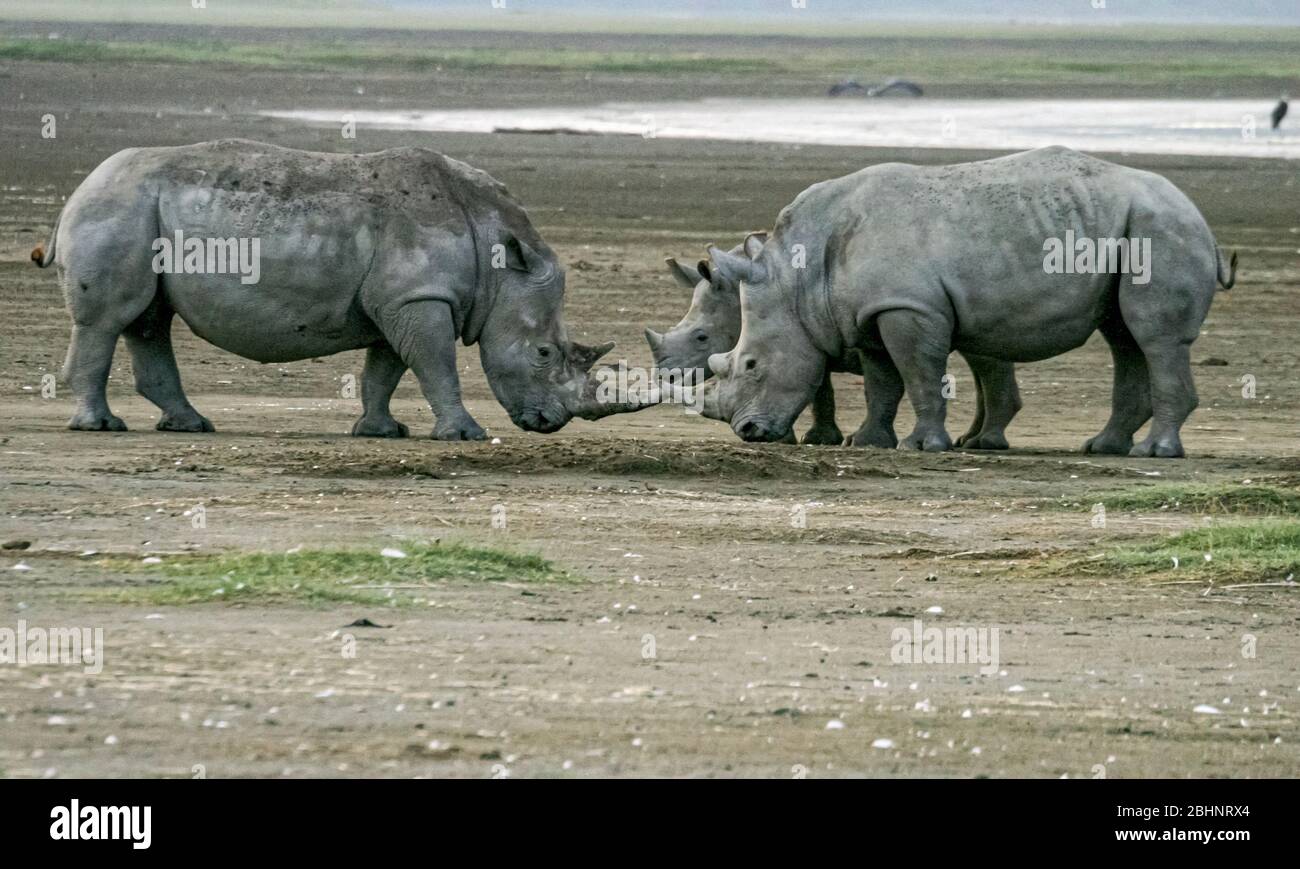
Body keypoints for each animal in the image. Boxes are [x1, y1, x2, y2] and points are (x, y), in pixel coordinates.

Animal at [32, 142, 650, 442]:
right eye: (543, 353)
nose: (552, 423)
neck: (502, 261)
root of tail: (81, 187)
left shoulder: (402, 300)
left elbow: (388, 369)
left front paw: (383, 432)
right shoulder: (421, 297)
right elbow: (437, 367)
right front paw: (465, 436)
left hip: (139, 211)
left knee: (148, 319)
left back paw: (189, 425)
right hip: (118, 207)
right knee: (107, 320)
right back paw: (100, 427)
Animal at [644, 234, 1019, 452]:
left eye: (701, 337)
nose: (666, 375)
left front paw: (798, 438)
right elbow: (818, 390)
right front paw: (812, 438)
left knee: (985, 358)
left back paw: (986, 442)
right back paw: (969, 440)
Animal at [696, 147, 1232, 460]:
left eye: (751, 364)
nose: (747, 431)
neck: (800, 282)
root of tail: (1199, 215)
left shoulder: (909, 307)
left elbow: (919, 375)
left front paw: (922, 447)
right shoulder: (869, 312)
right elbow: (881, 383)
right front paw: (866, 442)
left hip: (1161, 227)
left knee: (1155, 337)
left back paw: (1156, 453)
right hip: (1133, 227)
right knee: (1124, 337)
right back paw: (1103, 449)